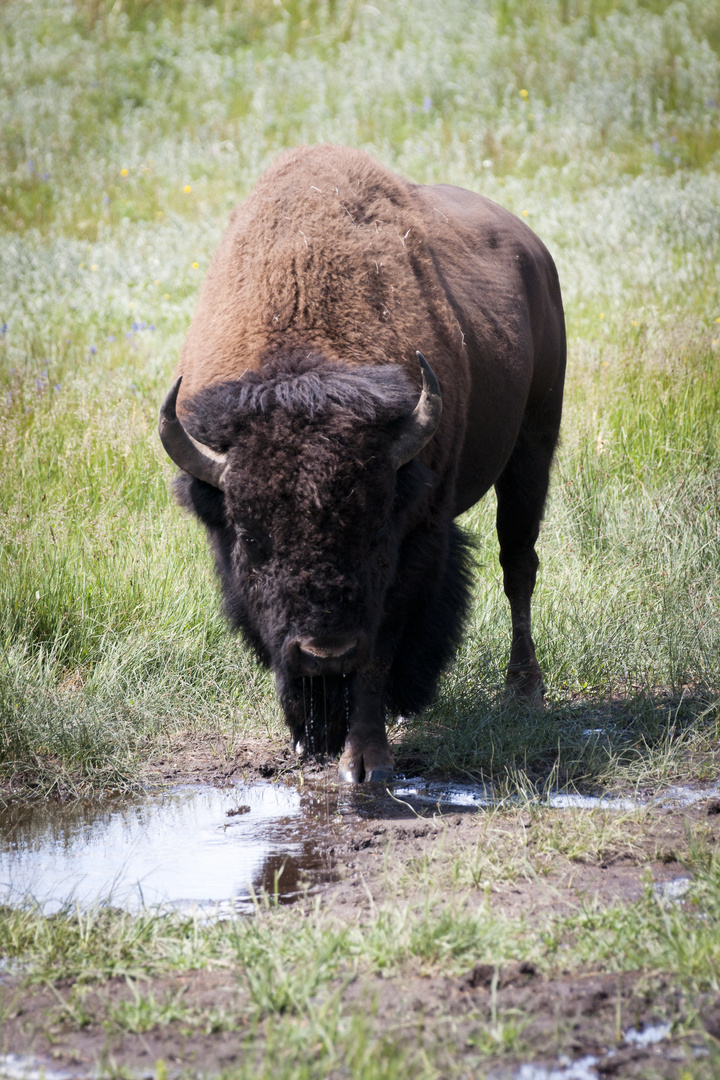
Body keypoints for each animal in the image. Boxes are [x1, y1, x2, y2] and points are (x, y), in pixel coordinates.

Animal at [160, 145, 565, 786]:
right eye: (251, 537)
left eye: (375, 531)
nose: (325, 651)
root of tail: (534, 252)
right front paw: (308, 740)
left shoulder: (412, 543)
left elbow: (379, 651)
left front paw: (366, 761)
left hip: (533, 444)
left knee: (518, 564)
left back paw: (524, 691)